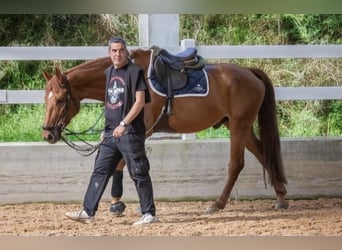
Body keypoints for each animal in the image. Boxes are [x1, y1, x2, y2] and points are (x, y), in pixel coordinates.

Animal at [42, 46, 288, 212]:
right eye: (46, 98)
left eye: (61, 99)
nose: (48, 134)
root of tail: (249, 72)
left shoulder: (140, 130)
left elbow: (121, 164)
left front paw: (116, 203)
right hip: (240, 127)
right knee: (264, 154)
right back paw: (280, 197)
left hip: (239, 126)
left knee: (236, 164)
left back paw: (217, 204)